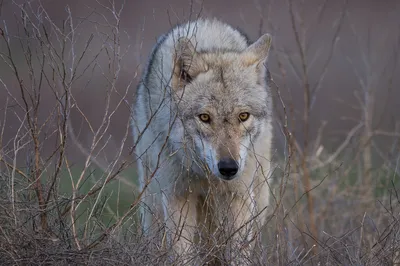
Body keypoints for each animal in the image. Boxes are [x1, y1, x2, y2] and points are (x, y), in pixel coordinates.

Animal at [133, 18, 274, 264]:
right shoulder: (177, 195)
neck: (206, 175)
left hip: (258, 199)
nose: (228, 168)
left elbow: (238, 253)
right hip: (153, 202)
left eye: (243, 116)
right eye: (205, 117)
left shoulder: (238, 197)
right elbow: (182, 254)